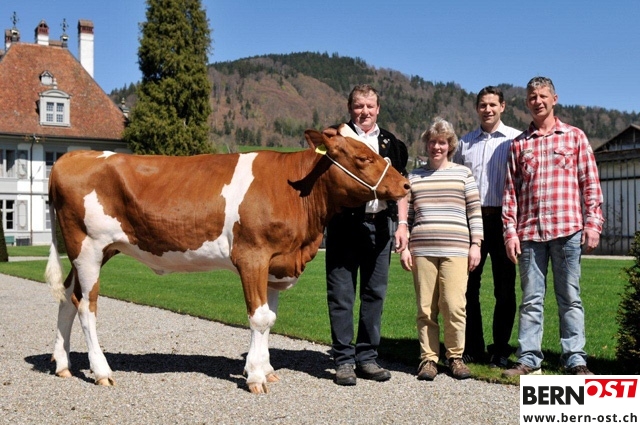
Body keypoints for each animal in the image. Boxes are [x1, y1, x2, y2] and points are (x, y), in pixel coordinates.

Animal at [44, 125, 410, 393]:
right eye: (362, 157)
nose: (405, 184)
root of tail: (72, 157)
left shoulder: (275, 263)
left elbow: (270, 317)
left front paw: (264, 369)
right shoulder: (252, 255)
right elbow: (259, 318)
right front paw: (256, 378)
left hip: (92, 252)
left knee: (67, 298)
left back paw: (62, 364)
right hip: (88, 247)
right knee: (86, 306)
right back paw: (101, 371)